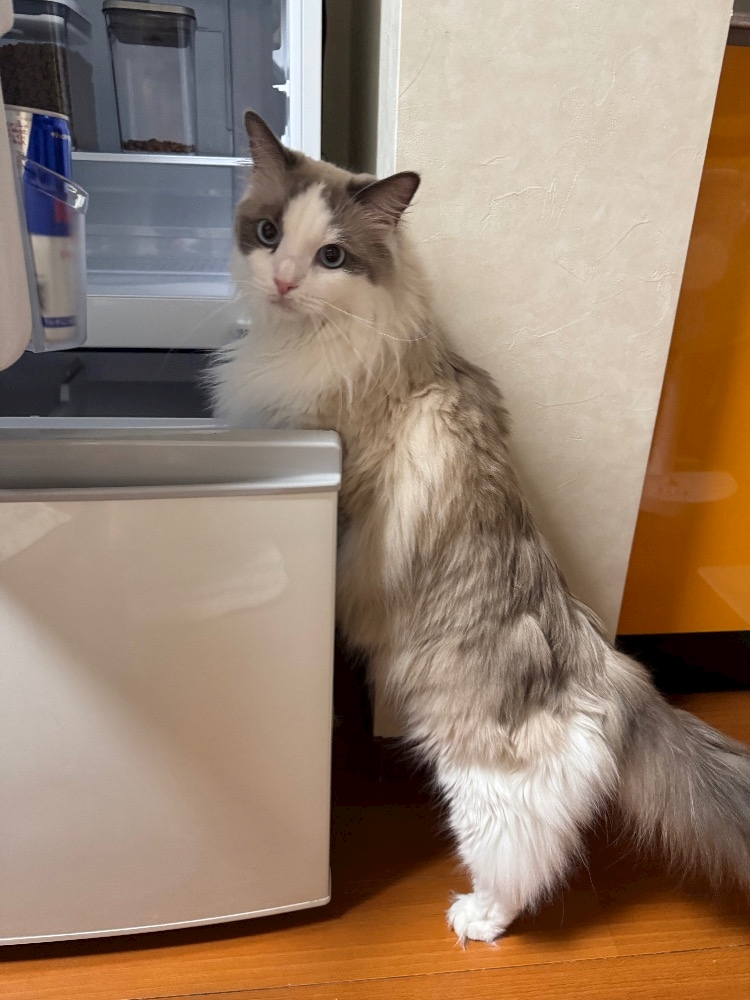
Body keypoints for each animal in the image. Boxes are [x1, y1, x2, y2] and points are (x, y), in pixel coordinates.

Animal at [212, 111, 750, 944]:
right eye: (267, 233)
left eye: (332, 255)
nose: (284, 280)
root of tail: (614, 674)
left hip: (482, 787)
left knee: (524, 863)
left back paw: (476, 919)